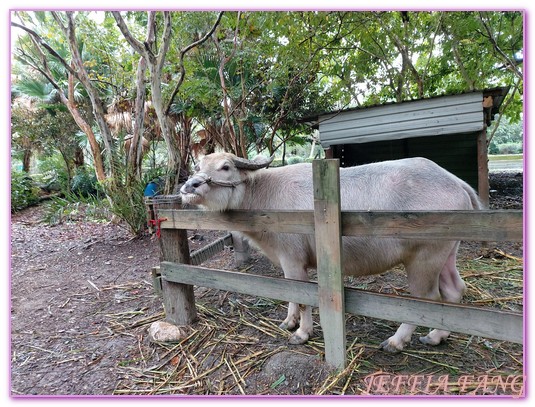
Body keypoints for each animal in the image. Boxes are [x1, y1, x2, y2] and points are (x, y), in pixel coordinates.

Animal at [182, 153, 484, 354]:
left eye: (225, 167)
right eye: (198, 166)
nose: (190, 186)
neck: (263, 197)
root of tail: (456, 182)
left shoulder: (293, 259)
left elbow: (303, 298)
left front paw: (302, 333)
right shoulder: (287, 263)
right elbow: (289, 293)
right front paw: (289, 321)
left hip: (424, 259)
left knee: (426, 300)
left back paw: (396, 341)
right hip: (446, 254)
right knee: (454, 290)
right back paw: (437, 336)